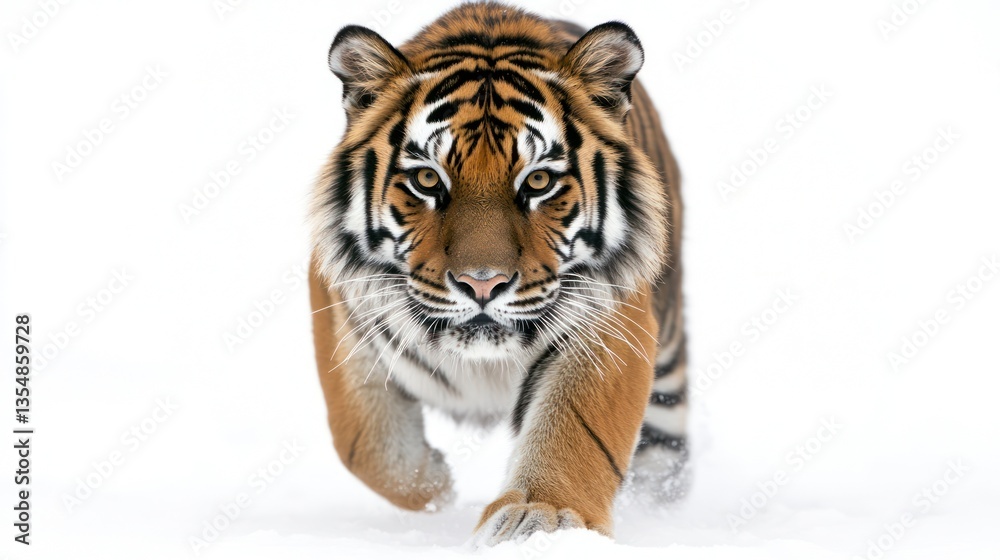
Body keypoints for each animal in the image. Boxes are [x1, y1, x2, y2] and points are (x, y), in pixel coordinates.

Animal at [308, 2, 687, 545]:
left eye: (539, 180)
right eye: (428, 179)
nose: (482, 283)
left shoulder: (607, 322)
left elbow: (576, 429)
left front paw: (538, 518)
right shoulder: (345, 311)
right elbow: (364, 443)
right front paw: (436, 483)